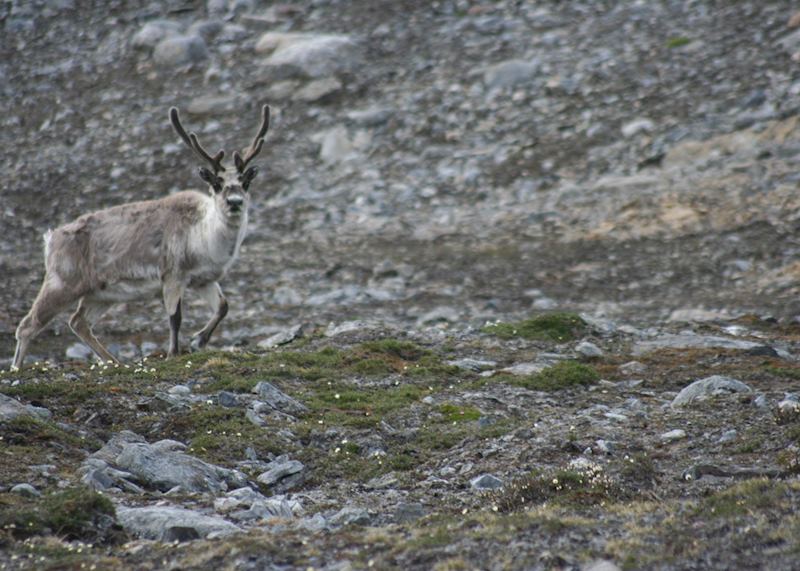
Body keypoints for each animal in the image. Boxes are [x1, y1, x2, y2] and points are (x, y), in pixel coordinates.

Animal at [11, 104, 270, 371]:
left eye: (246, 182)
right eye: (217, 183)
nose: (235, 202)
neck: (205, 236)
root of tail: (51, 238)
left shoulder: (203, 279)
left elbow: (223, 306)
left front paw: (198, 340)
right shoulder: (172, 276)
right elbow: (175, 317)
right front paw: (174, 353)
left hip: (99, 294)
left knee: (78, 322)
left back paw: (114, 362)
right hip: (61, 283)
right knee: (28, 326)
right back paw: (16, 368)